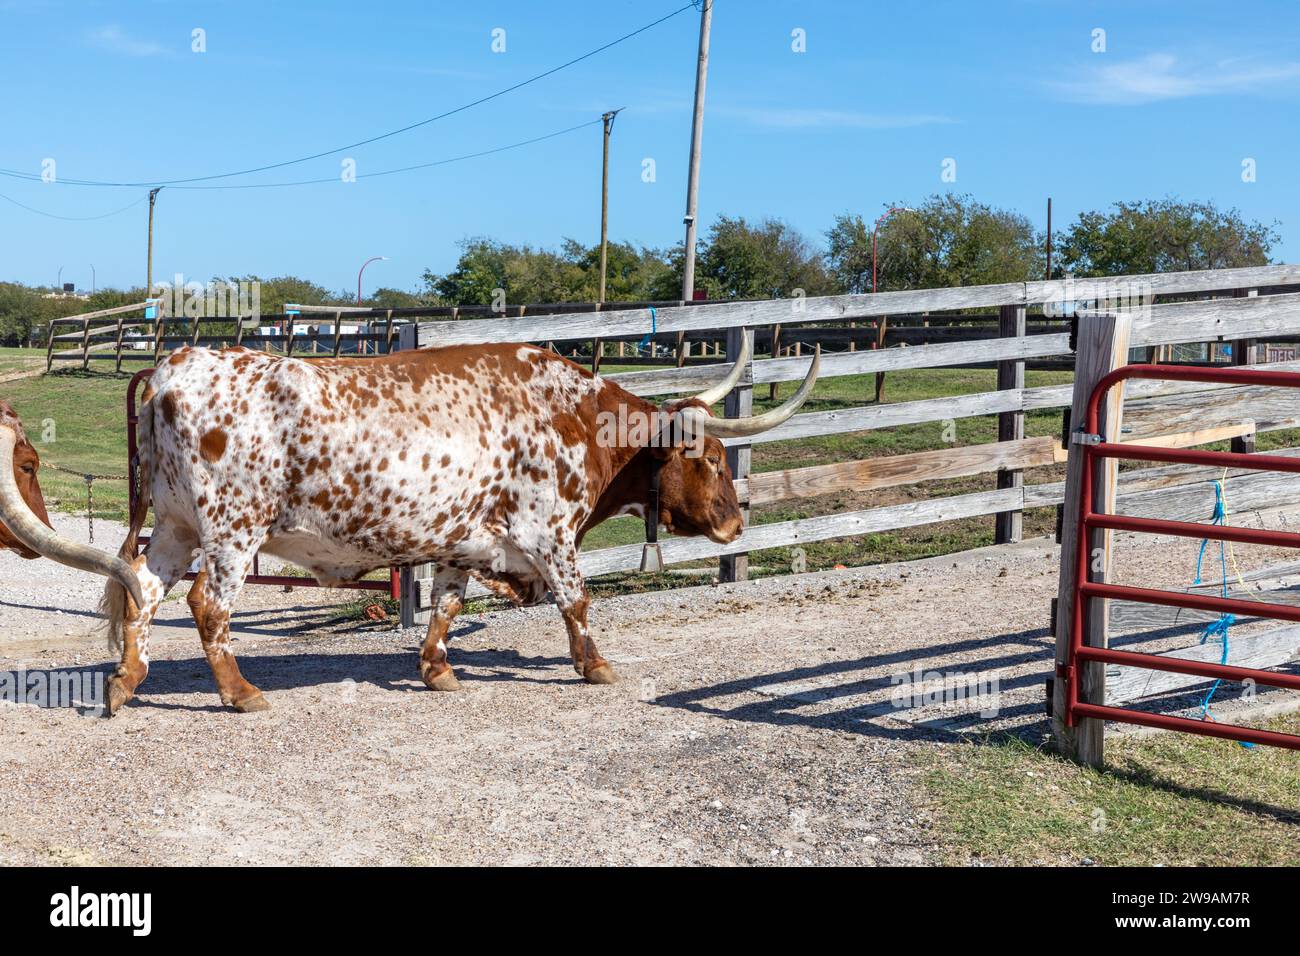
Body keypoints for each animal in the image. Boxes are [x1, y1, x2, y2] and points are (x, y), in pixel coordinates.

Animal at [98, 336, 819, 716]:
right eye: (713, 459)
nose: (735, 523)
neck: (577, 416)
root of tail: (178, 363)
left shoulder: (461, 541)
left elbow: (446, 604)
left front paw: (438, 670)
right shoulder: (549, 533)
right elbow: (578, 600)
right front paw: (595, 665)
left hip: (176, 527)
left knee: (142, 588)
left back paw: (124, 682)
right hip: (232, 530)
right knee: (207, 603)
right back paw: (240, 692)